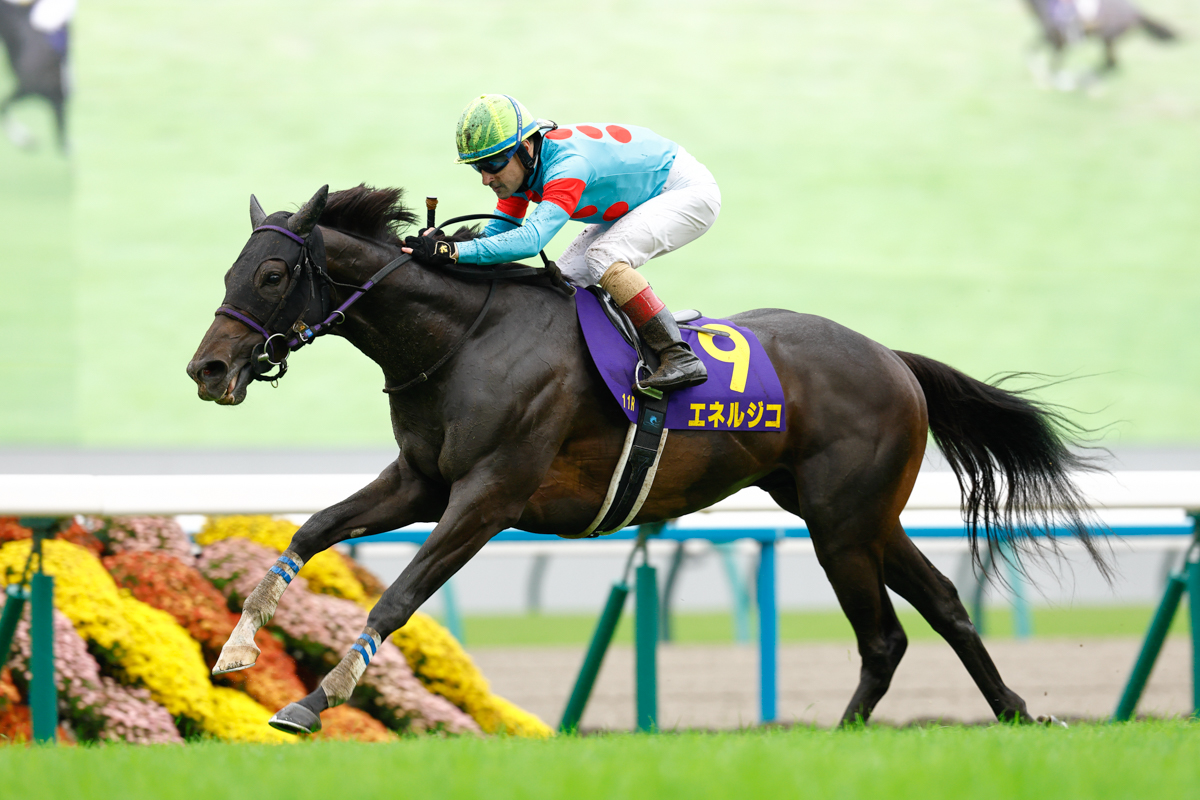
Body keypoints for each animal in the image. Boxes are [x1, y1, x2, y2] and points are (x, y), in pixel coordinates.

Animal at [187, 184, 1111, 733]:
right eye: (231, 269)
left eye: (273, 275)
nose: (209, 369)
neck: (462, 339)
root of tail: (892, 357)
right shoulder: (421, 481)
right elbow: (312, 529)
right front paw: (235, 651)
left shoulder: (489, 495)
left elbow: (401, 595)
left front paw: (314, 700)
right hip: (860, 516)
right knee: (946, 605)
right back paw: (1012, 712)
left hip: (842, 523)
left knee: (884, 635)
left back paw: (853, 735)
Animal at [1022, 0, 1178, 90]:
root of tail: (1136, 12)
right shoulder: (1051, 36)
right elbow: (1030, 51)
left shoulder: (1058, 39)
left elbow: (1053, 64)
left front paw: (1059, 82)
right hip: (1109, 40)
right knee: (1111, 65)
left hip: (1108, 39)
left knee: (1111, 64)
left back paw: (1085, 79)